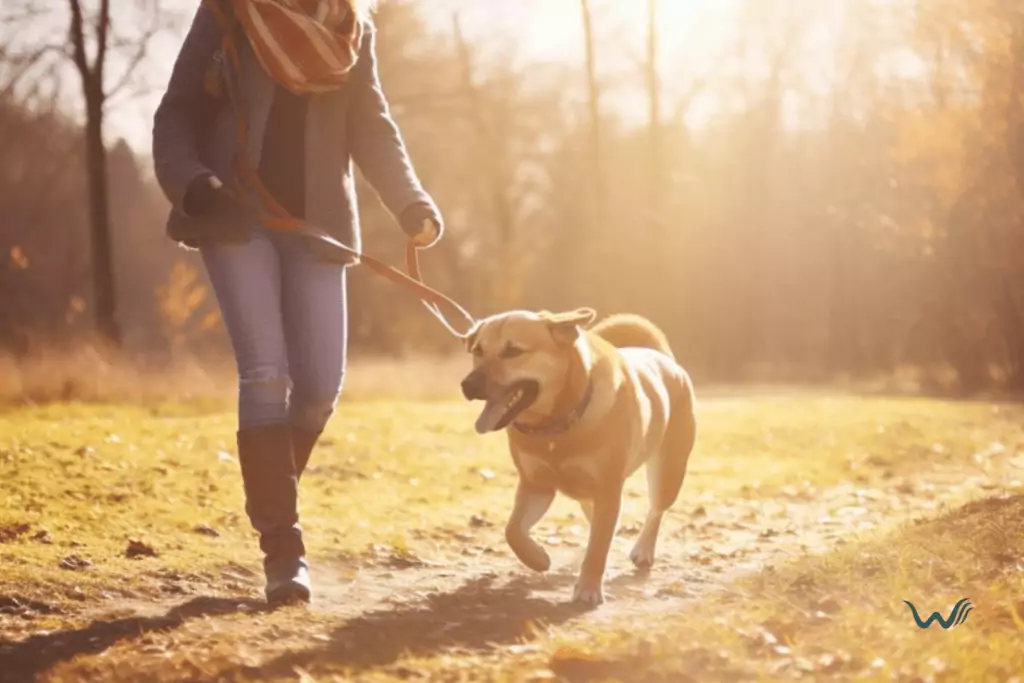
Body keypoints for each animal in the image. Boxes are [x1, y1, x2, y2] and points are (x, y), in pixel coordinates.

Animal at [462, 309, 696, 602]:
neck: (555, 429)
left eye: (513, 350)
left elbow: (598, 545)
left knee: (655, 510)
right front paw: (538, 558)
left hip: (667, 473)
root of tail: (663, 358)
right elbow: (513, 530)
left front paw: (588, 589)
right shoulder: (535, 486)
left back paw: (643, 550)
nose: (467, 385)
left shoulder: (608, 491)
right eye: (478, 350)